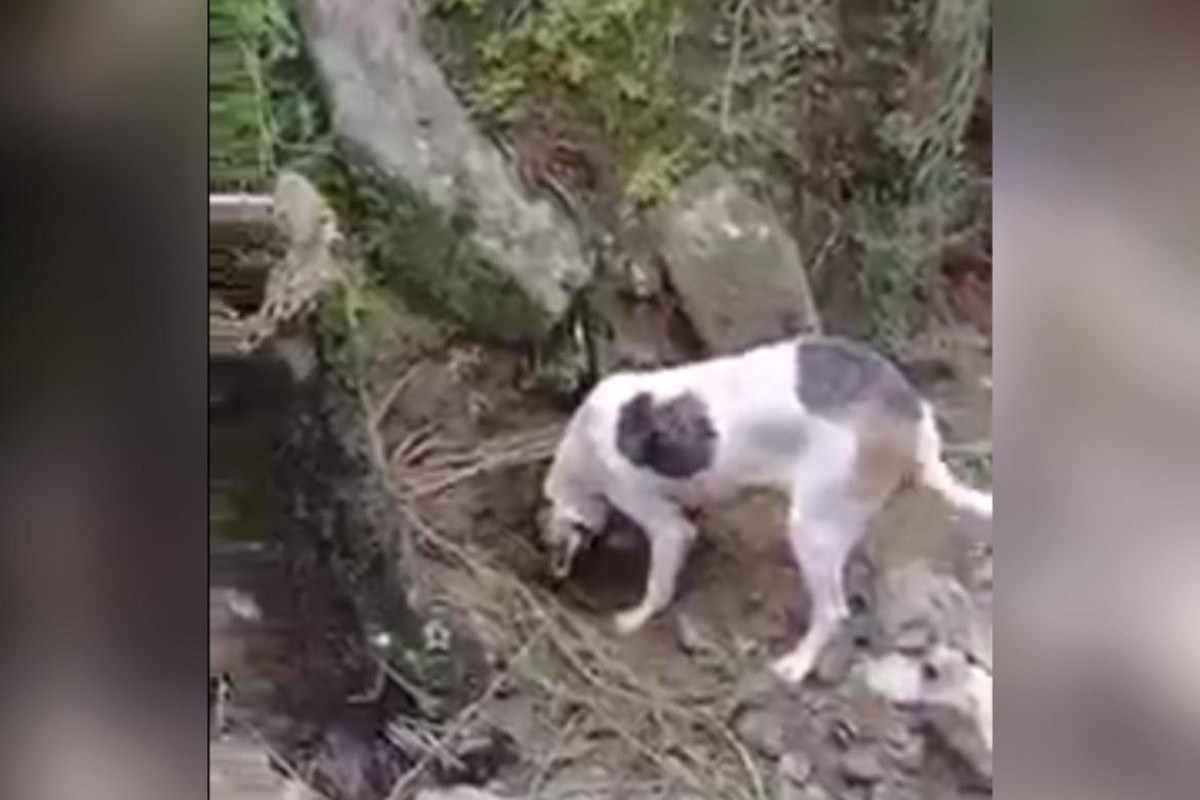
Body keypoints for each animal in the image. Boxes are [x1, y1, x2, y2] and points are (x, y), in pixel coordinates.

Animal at [537, 335, 993, 686]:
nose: (552, 580)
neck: (580, 451)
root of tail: (912, 407)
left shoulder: (663, 524)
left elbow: (658, 583)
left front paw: (636, 617)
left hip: (811, 529)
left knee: (832, 611)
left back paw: (796, 666)